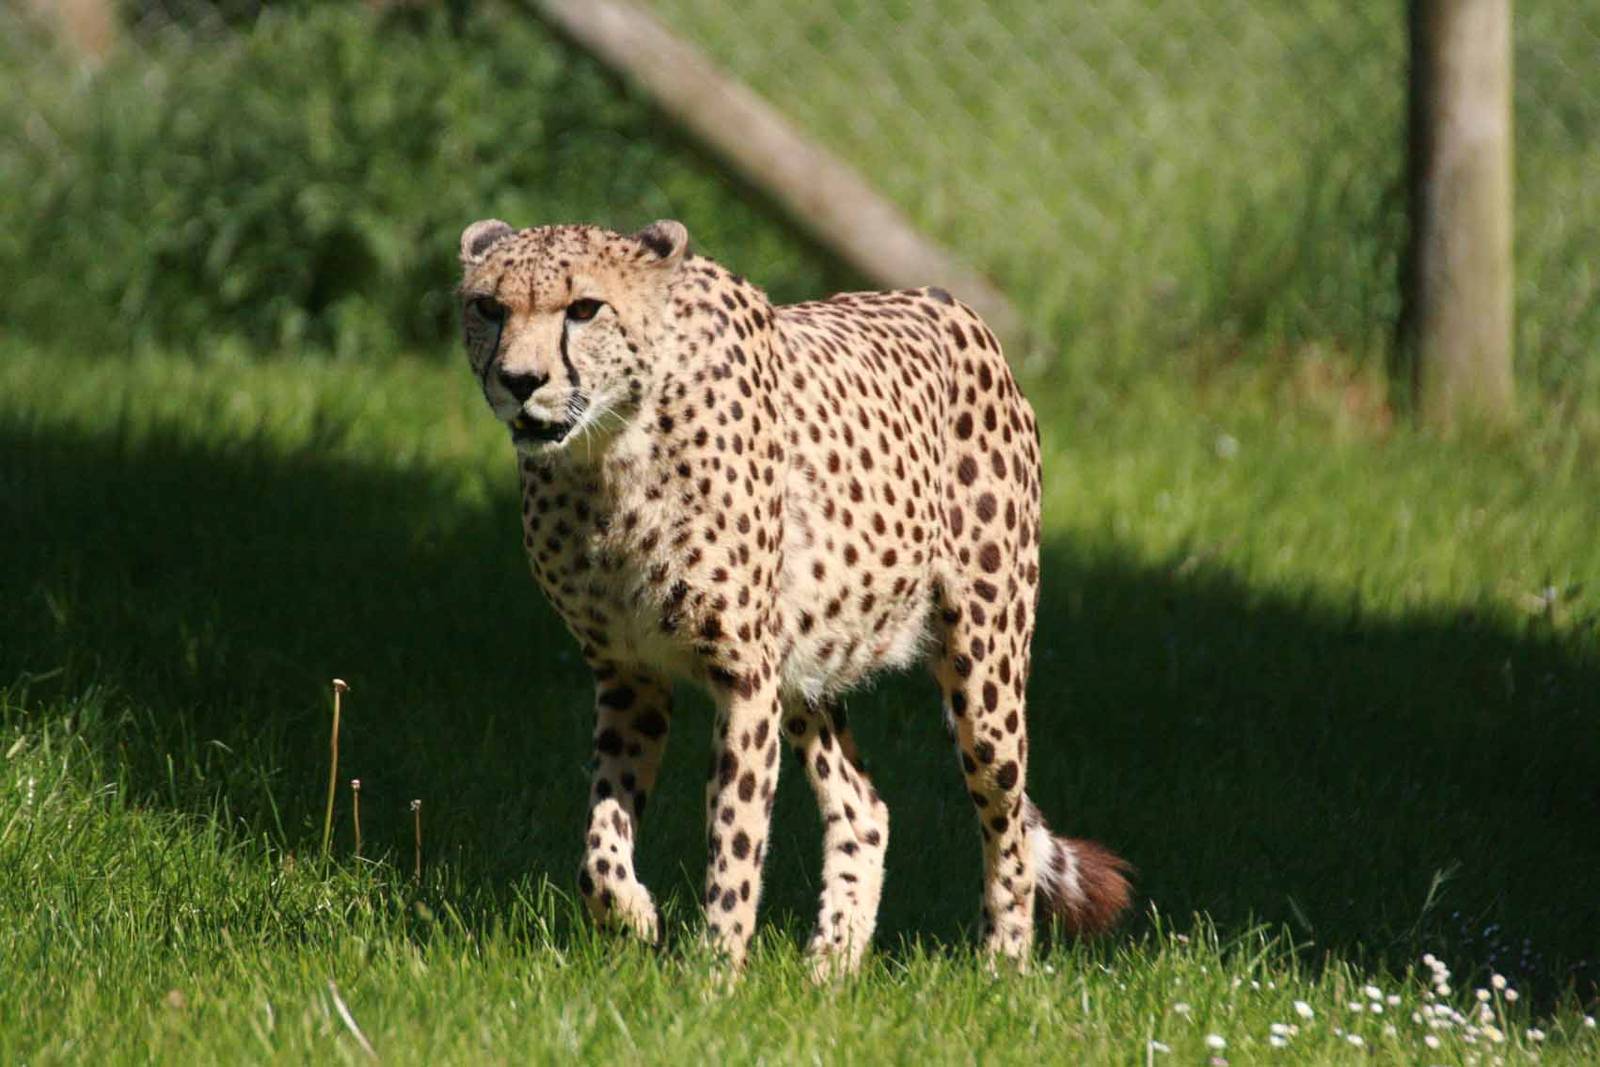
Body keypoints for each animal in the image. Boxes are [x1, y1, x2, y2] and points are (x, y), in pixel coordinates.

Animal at [457, 217, 1131, 976]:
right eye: (488, 307)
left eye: (584, 308)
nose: (520, 381)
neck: (609, 452)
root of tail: (950, 304)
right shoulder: (629, 672)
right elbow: (599, 840)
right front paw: (632, 914)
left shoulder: (745, 675)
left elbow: (736, 835)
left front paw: (714, 973)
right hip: (807, 664)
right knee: (866, 807)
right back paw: (830, 967)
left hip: (984, 667)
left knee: (1006, 822)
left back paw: (1001, 968)